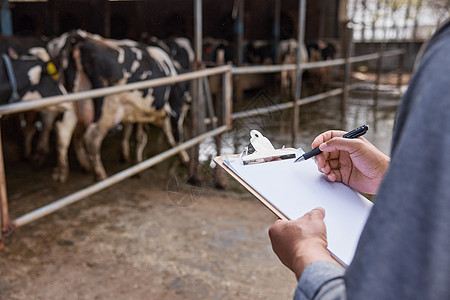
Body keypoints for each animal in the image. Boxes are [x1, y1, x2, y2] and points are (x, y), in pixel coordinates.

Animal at [48, 29, 190, 180]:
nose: (189, 100)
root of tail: (83, 38)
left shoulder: (141, 114)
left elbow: (141, 137)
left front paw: (138, 163)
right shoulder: (175, 107)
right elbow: (177, 136)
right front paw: (184, 158)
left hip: (73, 103)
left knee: (64, 131)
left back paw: (68, 170)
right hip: (106, 108)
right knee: (91, 138)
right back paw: (101, 175)